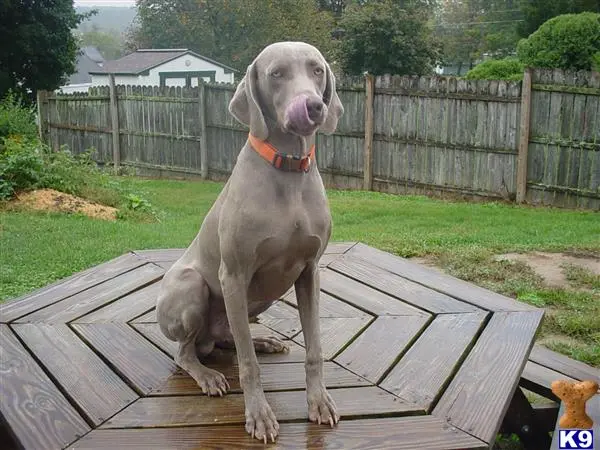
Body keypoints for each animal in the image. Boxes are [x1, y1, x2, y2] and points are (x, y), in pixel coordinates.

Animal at [157, 42, 344, 442]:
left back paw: (263, 341)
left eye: (317, 70)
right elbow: (247, 365)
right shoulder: (234, 275)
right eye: (276, 74)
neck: (288, 168)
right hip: (192, 288)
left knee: (228, 336)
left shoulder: (310, 271)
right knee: (186, 352)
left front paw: (319, 402)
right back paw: (208, 375)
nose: (313, 106)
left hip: (258, 301)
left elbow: (314, 350)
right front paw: (258, 415)